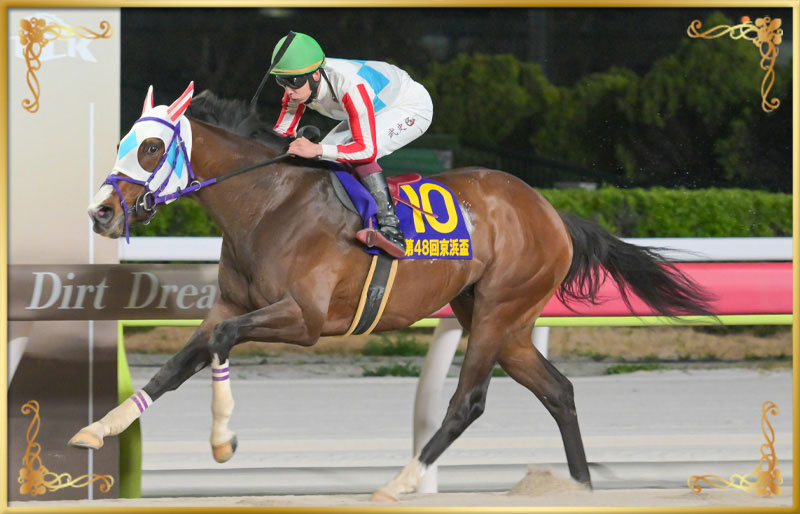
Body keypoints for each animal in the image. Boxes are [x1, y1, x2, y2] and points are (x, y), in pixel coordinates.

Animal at [72, 82, 715, 501]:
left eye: (151, 148)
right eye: (126, 141)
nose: (101, 213)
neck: (269, 203)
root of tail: (552, 211)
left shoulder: (304, 320)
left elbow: (223, 343)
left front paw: (224, 442)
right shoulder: (232, 304)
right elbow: (177, 365)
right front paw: (99, 429)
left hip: (499, 311)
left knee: (468, 402)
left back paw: (400, 483)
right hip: (499, 320)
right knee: (558, 390)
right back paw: (577, 488)